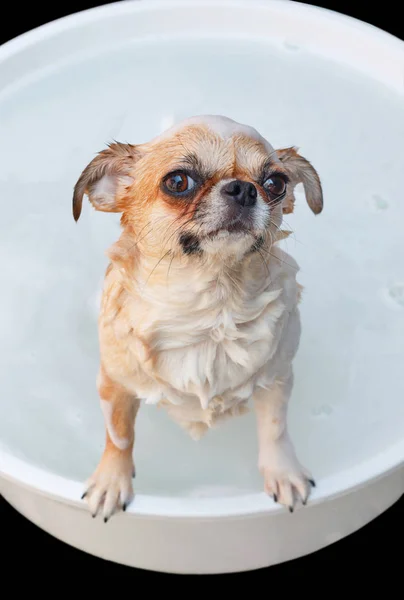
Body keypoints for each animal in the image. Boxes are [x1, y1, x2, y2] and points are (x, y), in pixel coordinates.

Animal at [73, 116, 322, 520]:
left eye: (275, 183)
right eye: (178, 182)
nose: (243, 189)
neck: (211, 308)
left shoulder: (276, 378)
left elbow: (274, 428)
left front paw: (283, 471)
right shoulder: (115, 385)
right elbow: (119, 436)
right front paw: (111, 480)